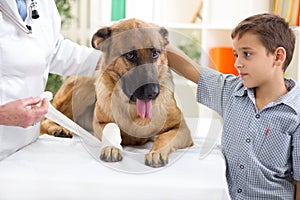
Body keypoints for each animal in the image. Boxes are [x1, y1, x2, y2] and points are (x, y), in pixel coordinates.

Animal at [41, 18, 193, 167]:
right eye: (130, 55)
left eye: (155, 53)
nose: (153, 92)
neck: (133, 110)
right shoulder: (100, 123)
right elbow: (112, 128)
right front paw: (111, 147)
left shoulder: (181, 129)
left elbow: (163, 138)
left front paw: (156, 152)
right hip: (84, 86)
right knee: (46, 120)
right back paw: (59, 129)